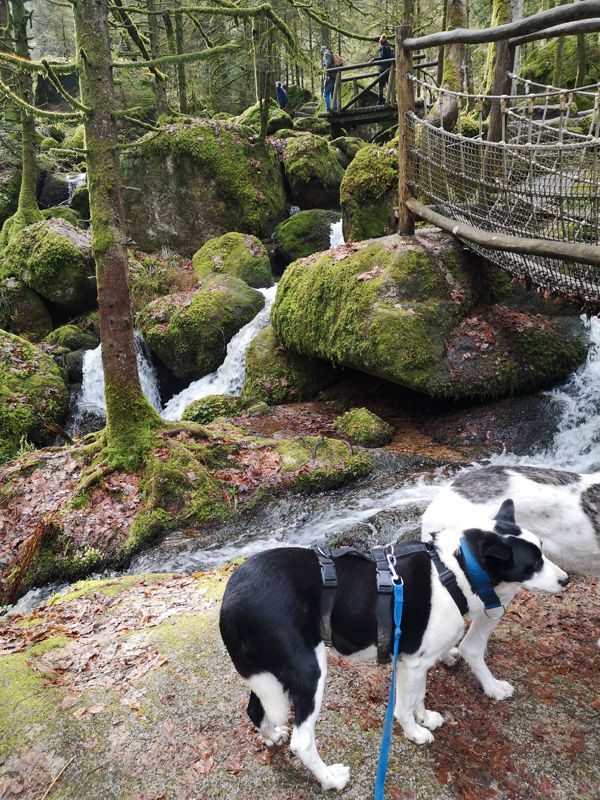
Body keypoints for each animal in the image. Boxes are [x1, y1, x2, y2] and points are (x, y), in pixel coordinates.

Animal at [220, 504, 568, 792]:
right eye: (533, 562)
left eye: (542, 551)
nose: (565, 580)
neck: (454, 569)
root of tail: (230, 601)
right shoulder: (412, 663)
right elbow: (403, 706)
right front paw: (415, 733)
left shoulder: (415, 660)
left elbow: (419, 696)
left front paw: (425, 718)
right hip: (309, 671)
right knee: (302, 742)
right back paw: (330, 779)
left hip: (270, 671)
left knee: (256, 709)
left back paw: (271, 737)